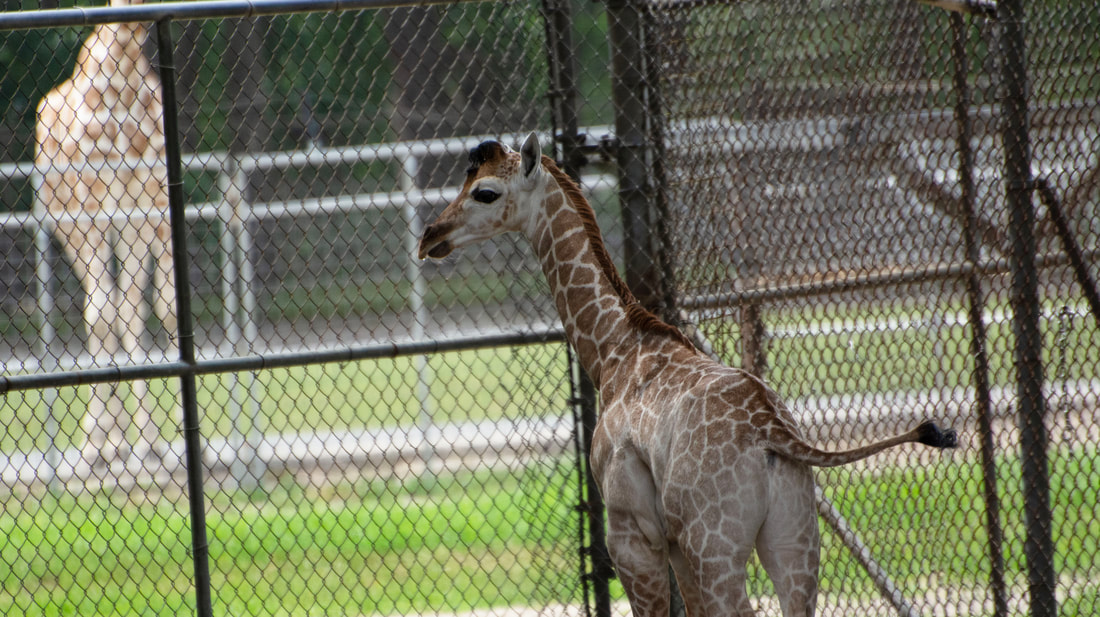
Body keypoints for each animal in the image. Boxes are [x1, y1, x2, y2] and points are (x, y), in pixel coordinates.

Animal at [35, 0, 176, 472]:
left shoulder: (147, 209)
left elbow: (152, 308)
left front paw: (154, 443)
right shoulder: (94, 208)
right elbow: (102, 313)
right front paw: (102, 442)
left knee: (121, 304)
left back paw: (120, 442)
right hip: (69, 229)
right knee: (97, 307)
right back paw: (101, 444)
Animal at [418, 134, 958, 617]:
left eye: (485, 191)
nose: (429, 237)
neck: (614, 350)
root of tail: (774, 433)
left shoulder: (633, 536)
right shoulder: (677, 544)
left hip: (714, 546)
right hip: (795, 539)